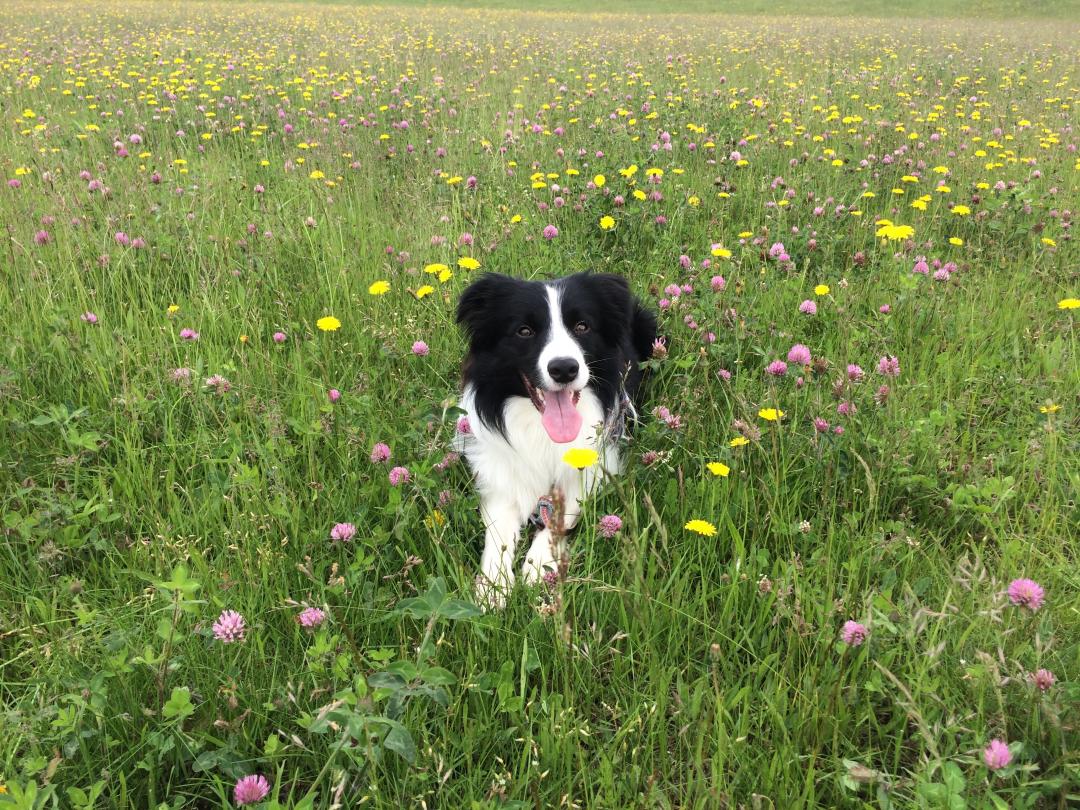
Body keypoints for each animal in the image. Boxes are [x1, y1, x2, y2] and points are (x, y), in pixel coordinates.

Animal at [455, 273, 656, 609]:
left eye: (582, 326)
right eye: (524, 331)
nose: (564, 369)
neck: (542, 431)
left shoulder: (598, 465)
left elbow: (560, 513)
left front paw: (538, 566)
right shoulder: (500, 473)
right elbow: (498, 533)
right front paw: (493, 586)